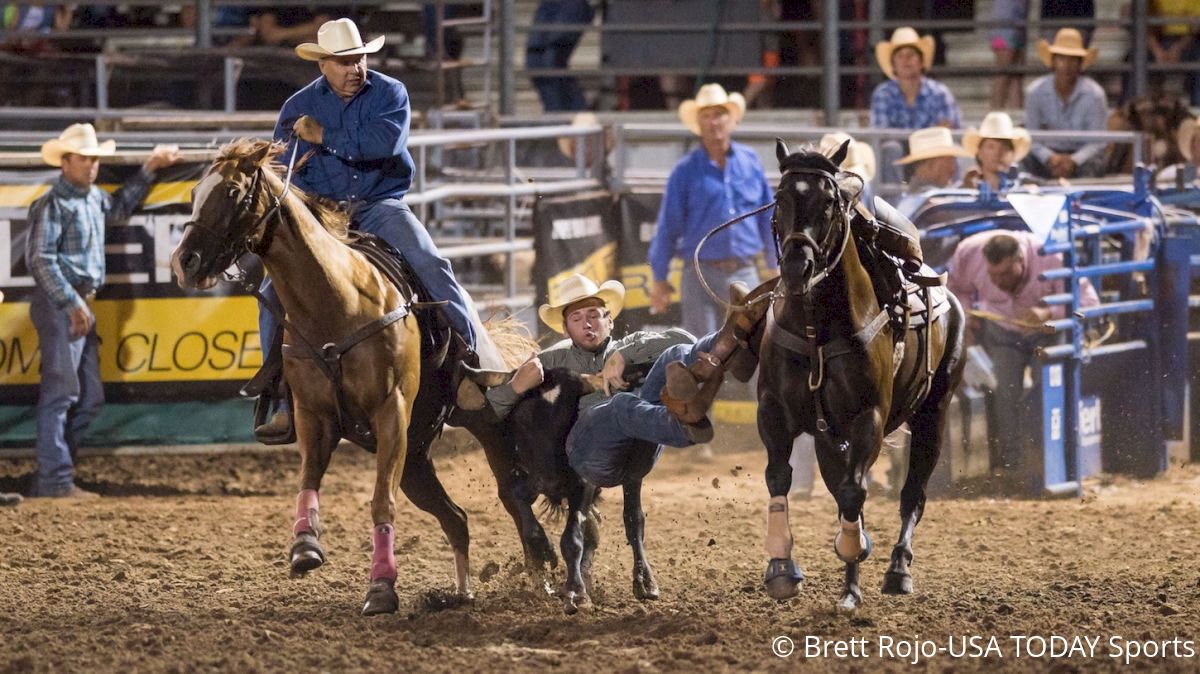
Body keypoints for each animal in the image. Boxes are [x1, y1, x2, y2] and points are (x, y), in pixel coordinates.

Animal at [168, 141, 552, 614]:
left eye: (234, 191)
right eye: (194, 194)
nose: (185, 262)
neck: (337, 303)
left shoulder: (390, 414)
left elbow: (380, 503)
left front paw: (382, 587)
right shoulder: (315, 417)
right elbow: (308, 480)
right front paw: (305, 547)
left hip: (479, 423)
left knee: (512, 495)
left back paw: (542, 576)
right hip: (416, 458)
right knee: (457, 519)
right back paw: (461, 592)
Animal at [763, 139, 969, 611]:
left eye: (829, 202)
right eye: (780, 198)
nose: (797, 266)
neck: (817, 326)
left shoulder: (867, 418)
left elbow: (855, 493)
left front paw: (854, 554)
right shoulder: (775, 413)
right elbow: (780, 478)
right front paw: (781, 568)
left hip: (934, 415)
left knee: (911, 494)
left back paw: (895, 571)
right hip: (829, 436)